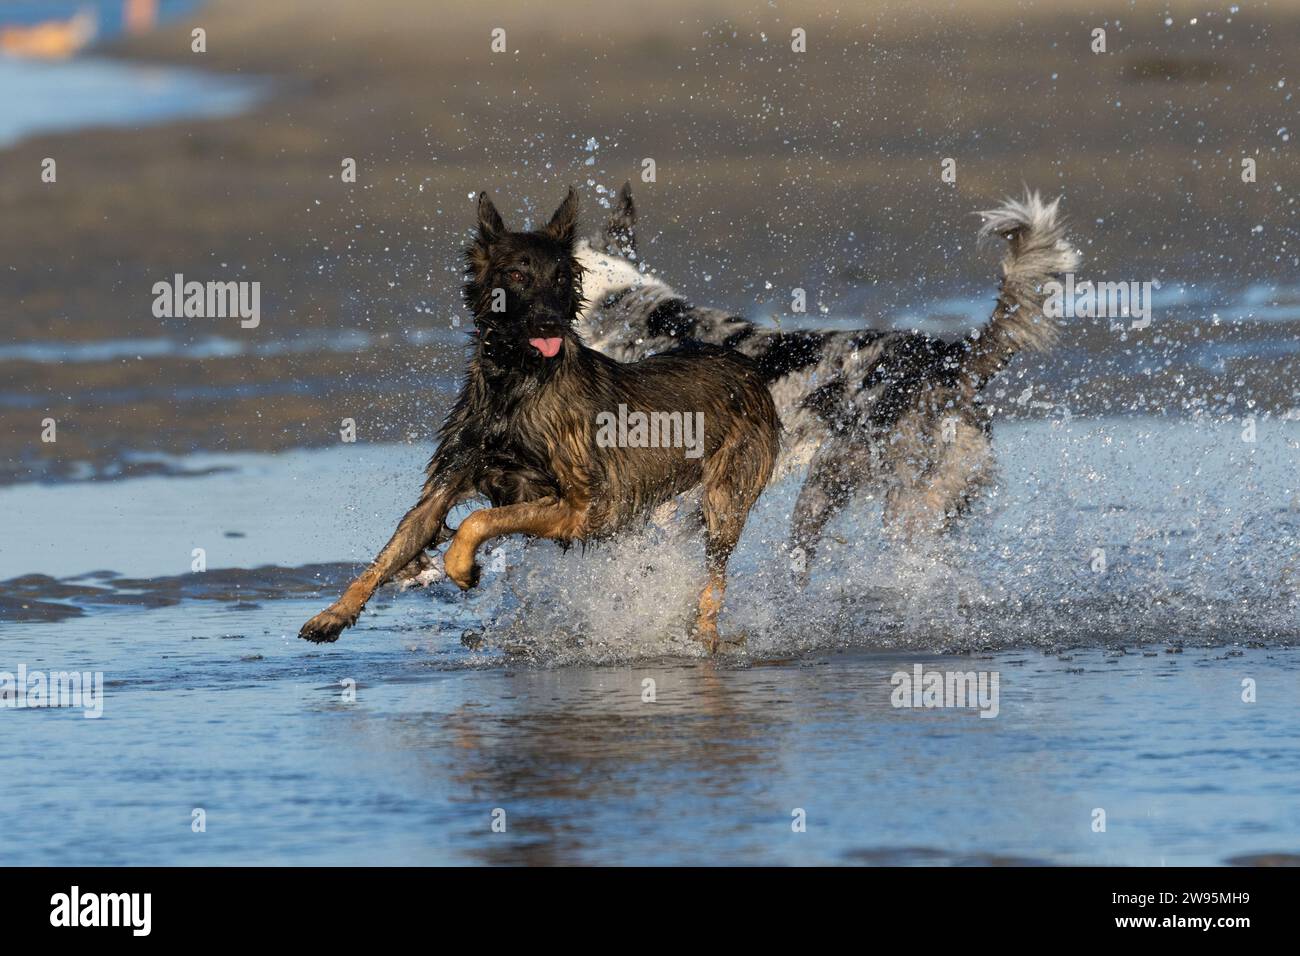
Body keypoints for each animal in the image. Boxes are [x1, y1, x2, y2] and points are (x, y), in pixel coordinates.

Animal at [299, 188, 774, 650]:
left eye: (561, 278)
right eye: (516, 276)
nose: (549, 323)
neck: (516, 384)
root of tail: (747, 366)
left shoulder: (586, 507)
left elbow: (477, 521)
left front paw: (461, 566)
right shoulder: (446, 483)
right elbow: (389, 552)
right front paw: (334, 614)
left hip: (723, 501)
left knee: (714, 581)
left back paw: (705, 639)